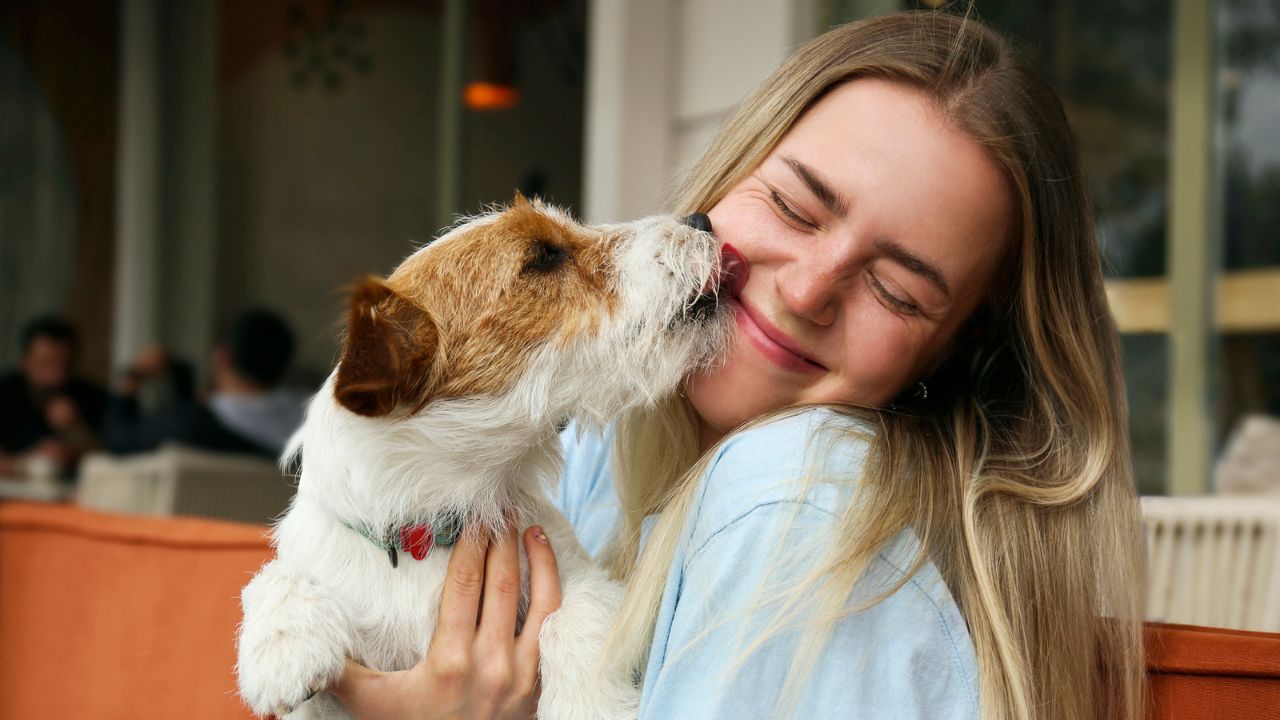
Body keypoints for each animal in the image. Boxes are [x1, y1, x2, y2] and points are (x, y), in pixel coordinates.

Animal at [235, 193, 737, 712]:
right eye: (544, 257)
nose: (702, 220)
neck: (433, 528)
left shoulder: (579, 576)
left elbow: (571, 618)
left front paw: (589, 704)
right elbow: (274, 575)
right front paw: (281, 646)